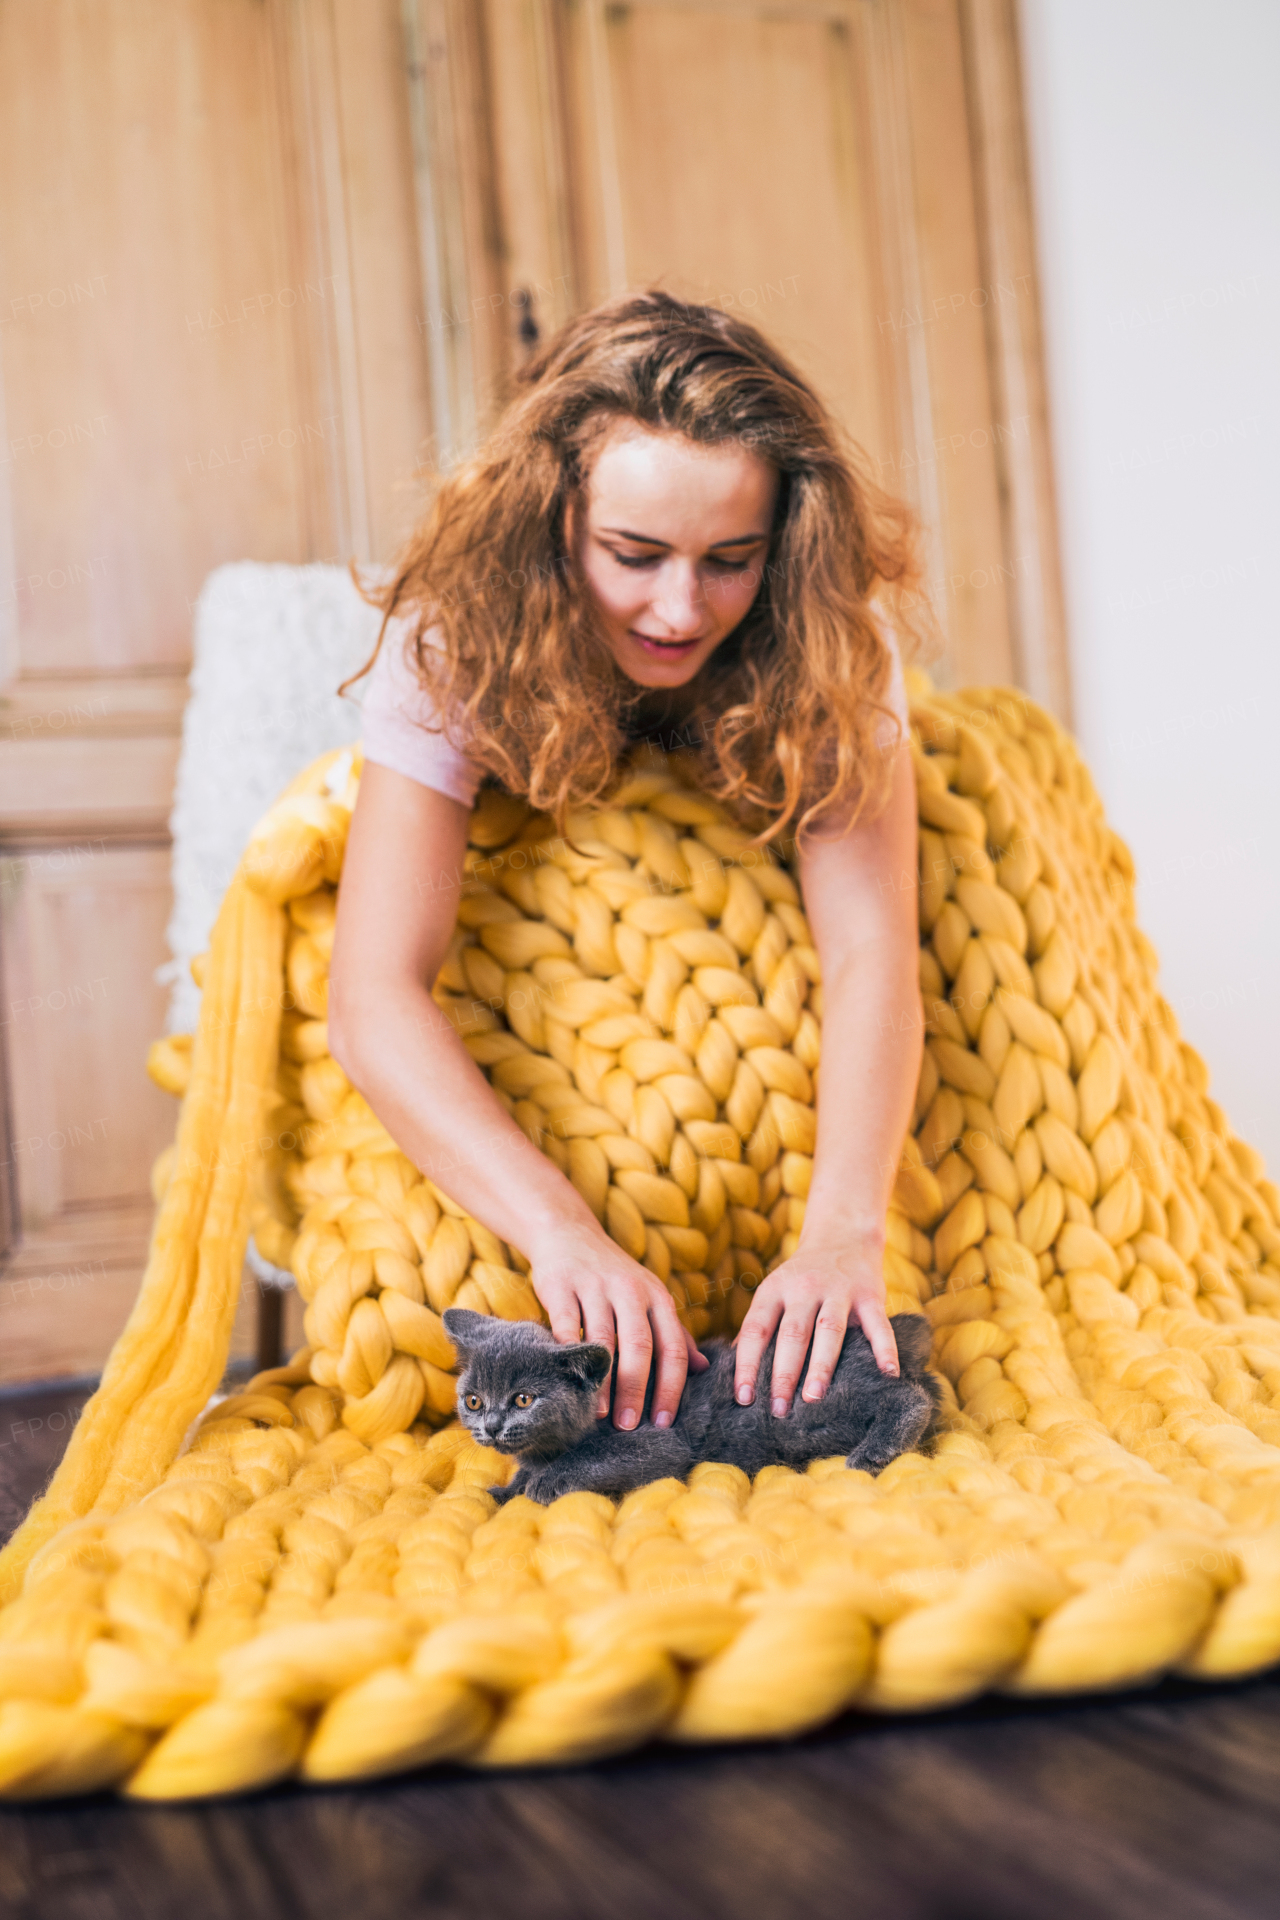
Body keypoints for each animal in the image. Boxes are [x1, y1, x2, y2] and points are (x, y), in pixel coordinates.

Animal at [443, 1313, 940, 1505]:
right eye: (473, 1401)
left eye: (523, 1399)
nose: (491, 1425)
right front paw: (506, 1490)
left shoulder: (657, 1439)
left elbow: (592, 1456)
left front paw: (545, 1482)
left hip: (802, 1409)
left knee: (909, 1396)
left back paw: (875, 1449)